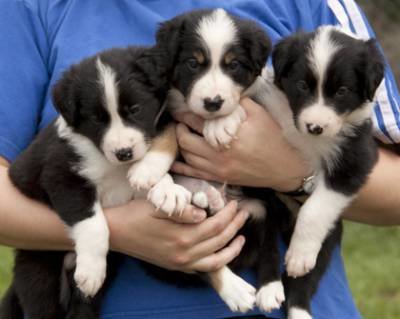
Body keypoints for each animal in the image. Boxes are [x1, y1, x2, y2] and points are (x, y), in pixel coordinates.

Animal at [0, 45, 190, 319]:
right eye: (97, 119)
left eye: (135, 109)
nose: (124, 153)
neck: (112, 166)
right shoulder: (61, 176)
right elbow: (94, 224)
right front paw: (91, 270)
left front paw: (168, 190)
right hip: (40, 270)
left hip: (89, 297)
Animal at [250, 25, 384, 319]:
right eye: (301, 85)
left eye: (342, 91)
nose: (315, 127)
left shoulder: (354, 161)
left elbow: (315, 210)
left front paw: (299, 255)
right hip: (264, 207)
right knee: (267, 246)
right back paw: (269, 289)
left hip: (330, 234)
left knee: (306, 278)